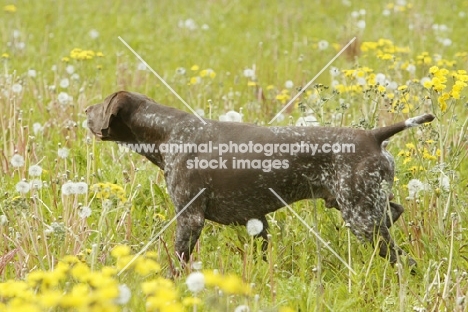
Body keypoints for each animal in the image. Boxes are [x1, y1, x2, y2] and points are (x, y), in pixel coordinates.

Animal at [85, 91, 436, 268]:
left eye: (101, 104)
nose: (86, 109)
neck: (169, 132)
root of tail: (374, 136)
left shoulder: (190, 218)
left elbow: (179, 262)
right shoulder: (256, 220)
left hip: (361, 219)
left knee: (402, 259)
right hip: (362, 207)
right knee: (394, 212)